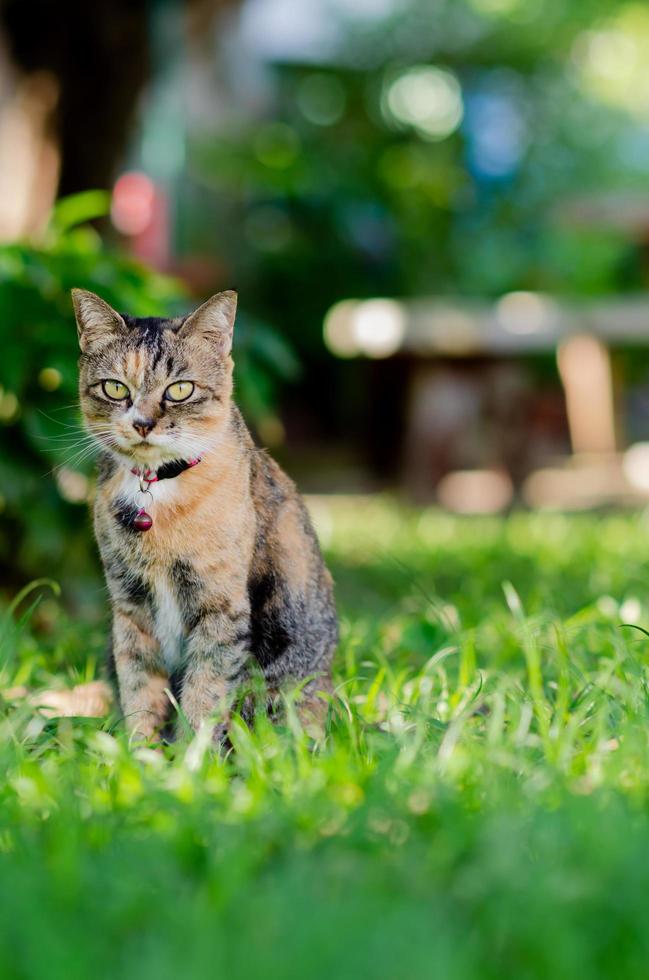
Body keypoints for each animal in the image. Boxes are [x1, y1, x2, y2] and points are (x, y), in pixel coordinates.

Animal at [73, 290, 340, 744]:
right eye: (115, 387)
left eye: (180, 389)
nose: (143, 423)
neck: (157, 491)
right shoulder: (130, 608)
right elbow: (139, 687)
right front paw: (140, 752)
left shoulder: (221, 608)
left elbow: (205, 694)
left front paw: (190, 758)